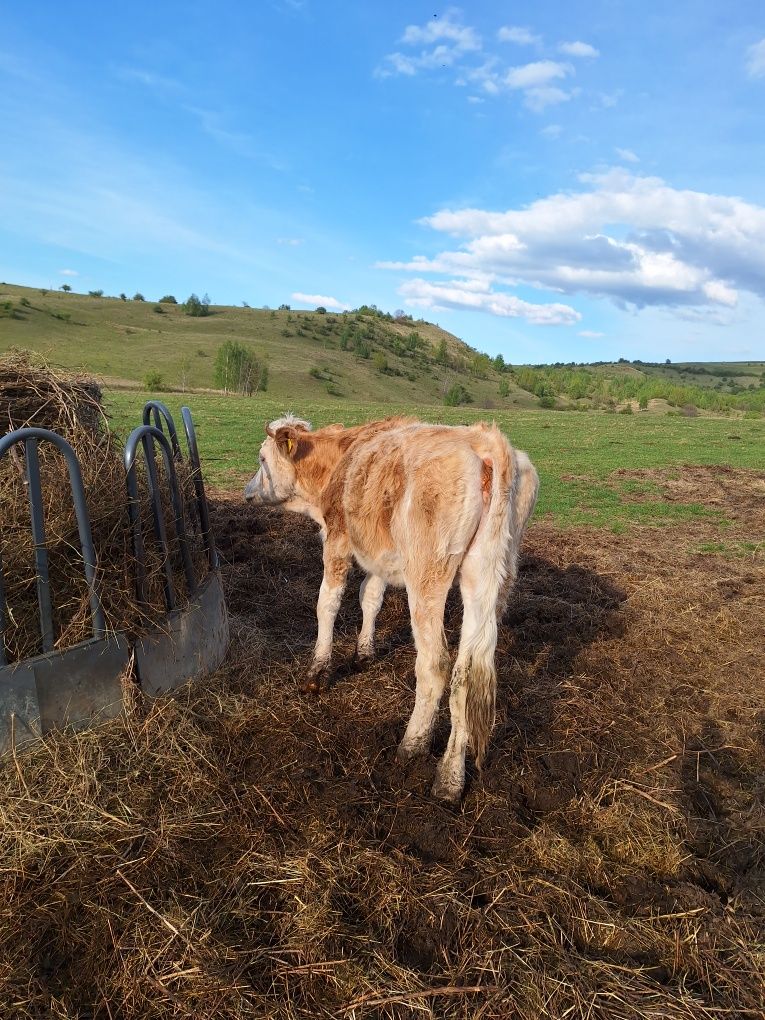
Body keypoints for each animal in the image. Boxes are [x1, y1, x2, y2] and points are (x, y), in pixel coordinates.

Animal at [245, 414, 538, 803]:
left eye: (262, 459)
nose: (248, 491)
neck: (338, 458)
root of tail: (488, 441)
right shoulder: (378, 555)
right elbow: (370, 596)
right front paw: (364, 652)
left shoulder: (338, 539)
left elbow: (328, 602)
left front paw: (317, 672)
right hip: (488, 577)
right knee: (465, 673)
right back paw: (450, 778)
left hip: (428, 574)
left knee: (435, 664)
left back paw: (412, 746)